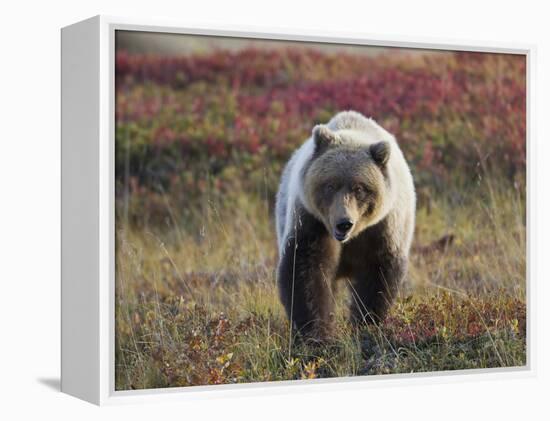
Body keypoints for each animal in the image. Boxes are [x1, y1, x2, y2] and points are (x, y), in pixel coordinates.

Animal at [278, 110, 416, 340]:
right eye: (330, 185)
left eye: (359, 188)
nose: (344, 223)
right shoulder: (311, 222)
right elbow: (307, 271)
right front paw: (315, 331)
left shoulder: (383, 229)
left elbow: (378, 275)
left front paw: (366, 322)